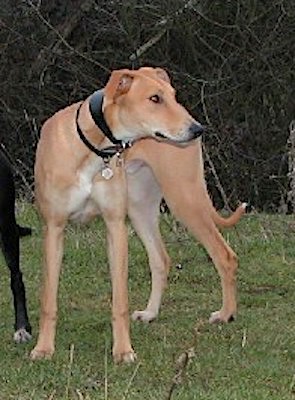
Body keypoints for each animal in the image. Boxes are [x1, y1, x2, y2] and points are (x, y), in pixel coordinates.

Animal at [31, 66, 246, 362]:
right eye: (155, 98)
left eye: (173, 96)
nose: (197, 129)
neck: (93, 145)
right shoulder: (54, 228)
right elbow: (48, 300)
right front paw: (43, 348)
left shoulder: (115, 226)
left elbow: (119, 301)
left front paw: (123, 351)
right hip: (141, 209)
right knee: (161, 258)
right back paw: (151, 313)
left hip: (183, 198)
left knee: (224, 256)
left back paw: (225, 314)